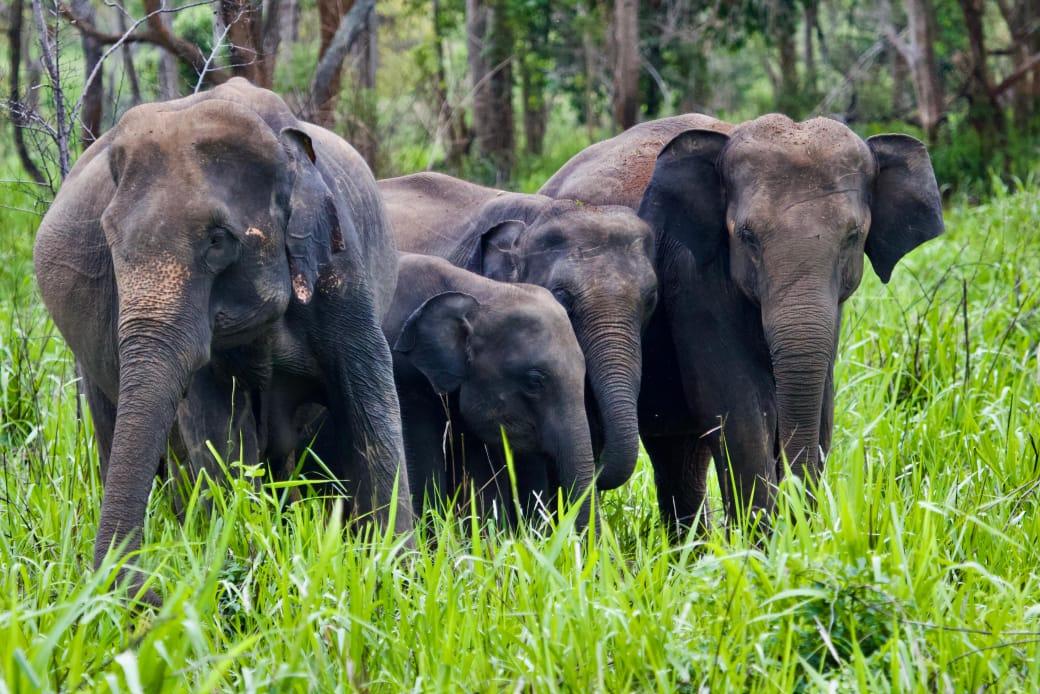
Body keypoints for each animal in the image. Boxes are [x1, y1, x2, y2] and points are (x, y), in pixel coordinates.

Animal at [33, 78, 413, 603]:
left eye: (218, 240)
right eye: (108, 244)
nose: (147, 589)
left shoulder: (341, 269)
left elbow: (372, 401)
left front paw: (396, 578)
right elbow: (218, 433)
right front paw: (242, 563)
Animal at [540, 113, 944, 530]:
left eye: (853, 236)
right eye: (747, 236)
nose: (795, 513)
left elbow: (822, 408)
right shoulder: (695, 279)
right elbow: (739, 410)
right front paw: (765, 540)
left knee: (679, 456)